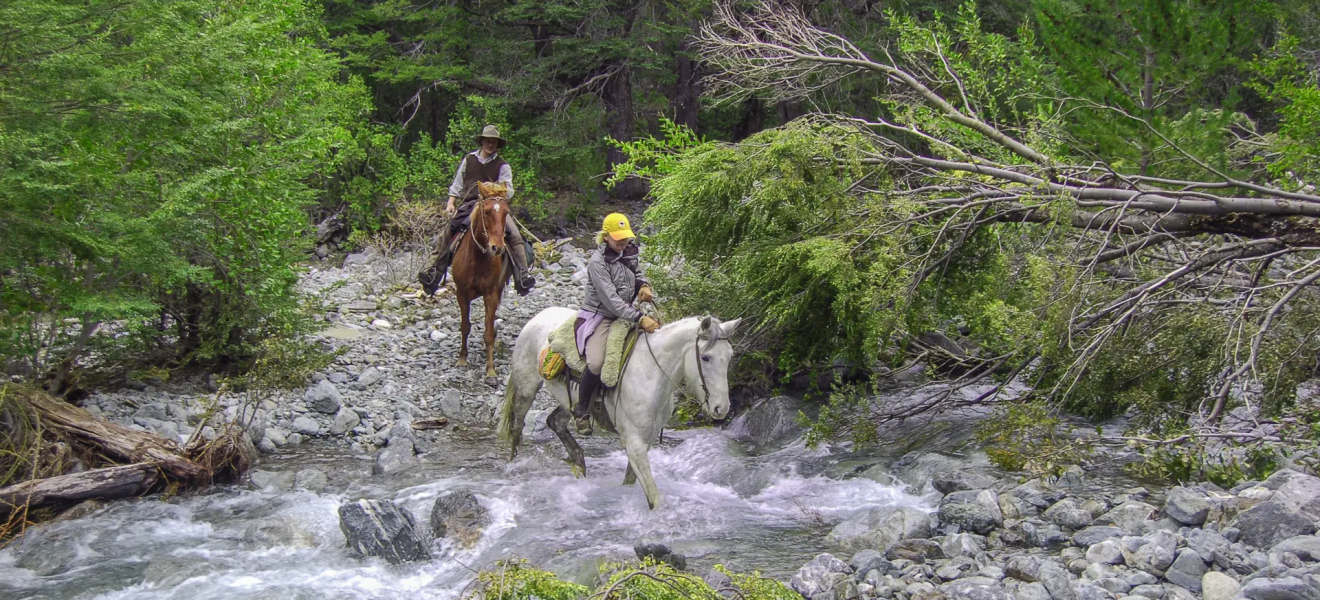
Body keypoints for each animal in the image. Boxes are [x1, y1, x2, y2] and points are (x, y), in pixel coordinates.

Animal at [454, 183, 514, 379]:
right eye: (487, 211)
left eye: (506, 212)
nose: (497, 248)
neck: (478, 257)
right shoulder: (461, 293)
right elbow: (465, 326)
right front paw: (462, 358)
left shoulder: (491, 293)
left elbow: (488, 332)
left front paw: (491, 369)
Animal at [496, 307, 739, 509]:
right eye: (705, 357)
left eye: (729, 357)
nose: (721, 408)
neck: (651, 373)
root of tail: (538, 316)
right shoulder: (634, 443)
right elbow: (655, 497)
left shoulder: (645, 442)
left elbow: (631, 482)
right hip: (527, 389)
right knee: (517, 427)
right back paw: (514, 466)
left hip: (569, 402)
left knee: (554, 421)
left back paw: (579, 463)